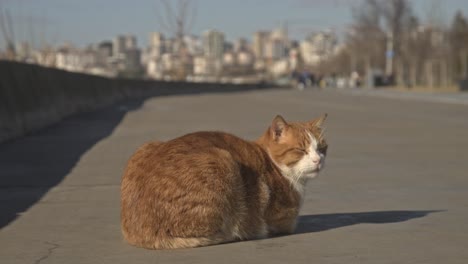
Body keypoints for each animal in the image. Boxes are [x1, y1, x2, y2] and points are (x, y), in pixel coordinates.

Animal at [120, 114, 330, 250]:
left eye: (321, 148)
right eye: (301, 150)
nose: (318, 160)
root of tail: (142, 234)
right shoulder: (282, 221)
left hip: (144, 146)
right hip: (222, 159)